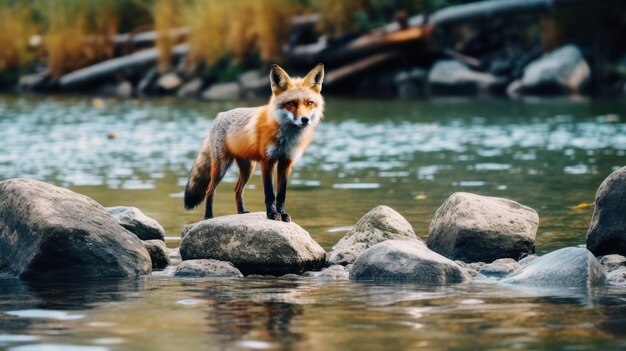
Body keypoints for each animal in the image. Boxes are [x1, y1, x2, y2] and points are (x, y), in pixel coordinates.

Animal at [183, 63, 324, 223]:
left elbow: (281, 194)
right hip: (221, 167)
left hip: (247, 168)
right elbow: (270, 194)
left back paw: (241, 212)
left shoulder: (286, 162)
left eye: (310, 103)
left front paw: (283, 214)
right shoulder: (267, 161)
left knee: (237, 189)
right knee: (209, 190)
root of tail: (219, 115)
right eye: (292, 103)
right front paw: (272, 214)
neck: (287, 138)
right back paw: (208, 216)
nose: (305, 120)